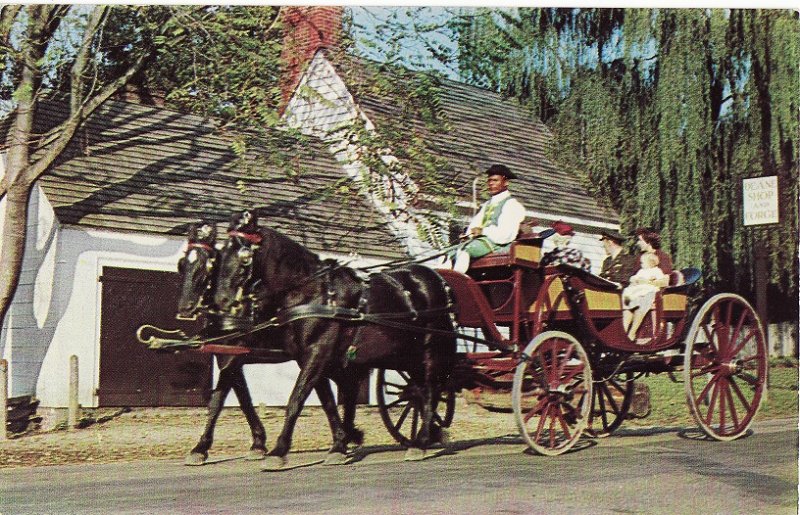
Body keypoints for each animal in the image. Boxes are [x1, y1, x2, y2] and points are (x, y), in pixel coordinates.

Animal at [212, 217, 456, 468]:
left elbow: (296, 399)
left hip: (430, 350)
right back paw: (429, 434)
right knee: (420, 391)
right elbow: (327, 402)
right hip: (407, 356)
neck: (311, 293)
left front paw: (278, 451)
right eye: (221, 254)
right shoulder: (309, 357)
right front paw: (340, 444)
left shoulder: (318, 352)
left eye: (244, 255)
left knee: (429, 391)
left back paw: (421, 442)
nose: (222, 300)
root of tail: (439, 282)